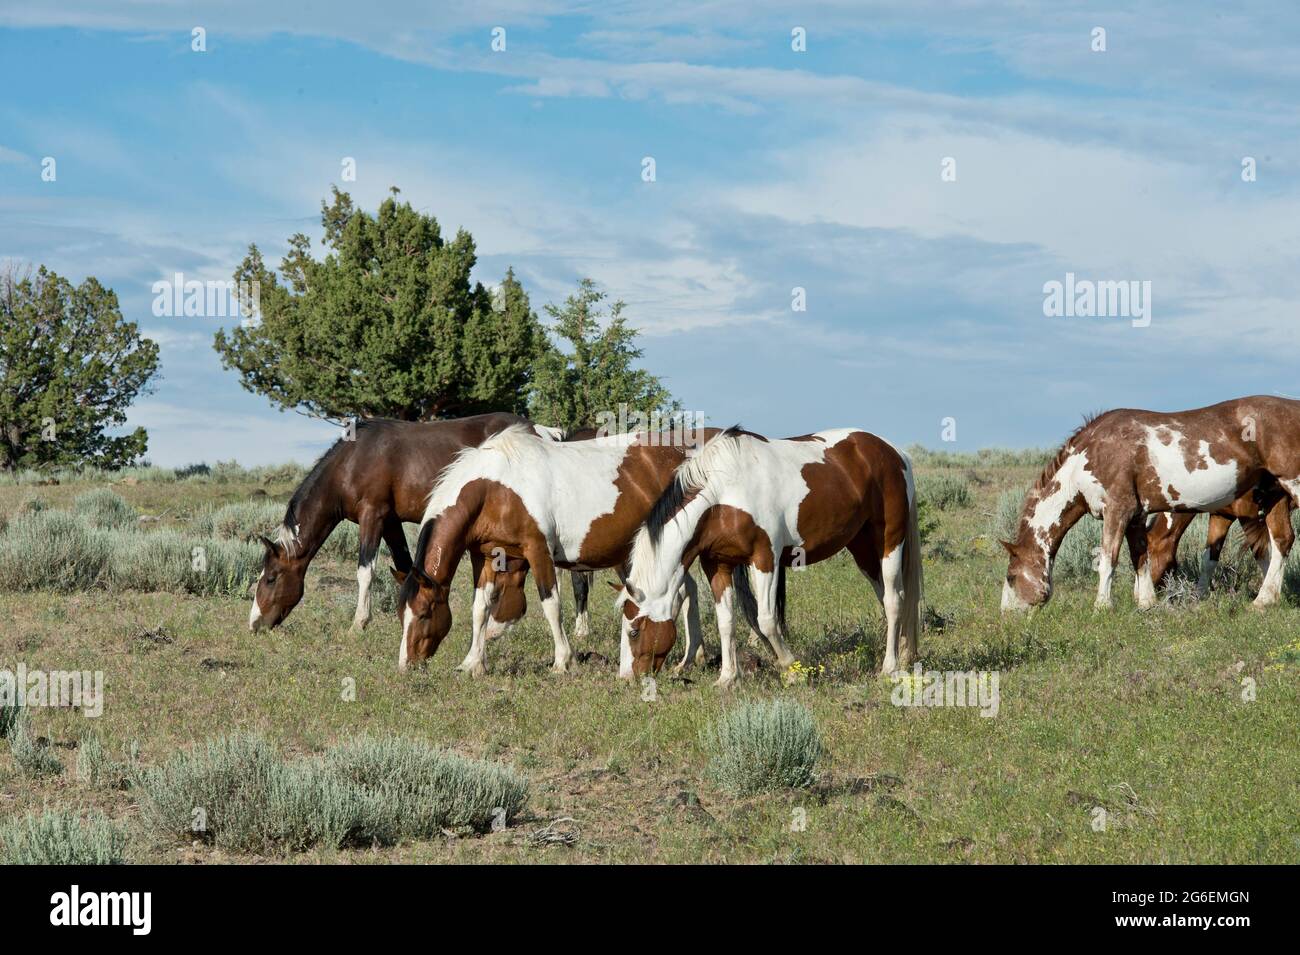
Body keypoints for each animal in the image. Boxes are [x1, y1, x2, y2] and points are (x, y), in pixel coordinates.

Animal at [248, 413, 564, 631]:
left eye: (271, 578)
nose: (255, 624)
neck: (352, 461)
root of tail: (540, 431)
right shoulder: (391, 523)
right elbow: (404, 566)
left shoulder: (372, 516)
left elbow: (365, 571)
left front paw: (359, 623)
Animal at [400, 420, 717, 675]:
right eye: (401, 614)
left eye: (425, 613)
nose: (407, 664)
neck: (495, 488)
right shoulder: (485, 556)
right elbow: (480, 608)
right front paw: (473, 663)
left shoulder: (538, 551)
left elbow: (551, 605)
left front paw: (563, 661)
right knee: (687, 592)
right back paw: (693, 657)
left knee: (684, 593)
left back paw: (690, 658)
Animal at [618, 428, 925, 686]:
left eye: (634, 631)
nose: (628, 677)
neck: (723, 494)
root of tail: (895, 453)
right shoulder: (717, 564)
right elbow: (726, 621)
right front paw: (728, 678)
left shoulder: (764, 558)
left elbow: (766, 620)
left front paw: (791, 670)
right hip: (862, 548)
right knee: (887, 598)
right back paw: (904, 656)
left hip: (889, 541)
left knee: (894, 600)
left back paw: (889, 668)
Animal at [1138, 485, 1289, 605]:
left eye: (1148, 554)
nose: (1137, 596)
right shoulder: (1221, 516)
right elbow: (1208, 559)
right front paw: (1200, 594)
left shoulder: (1249, 515)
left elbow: (1262, 555)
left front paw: (1269, 595)